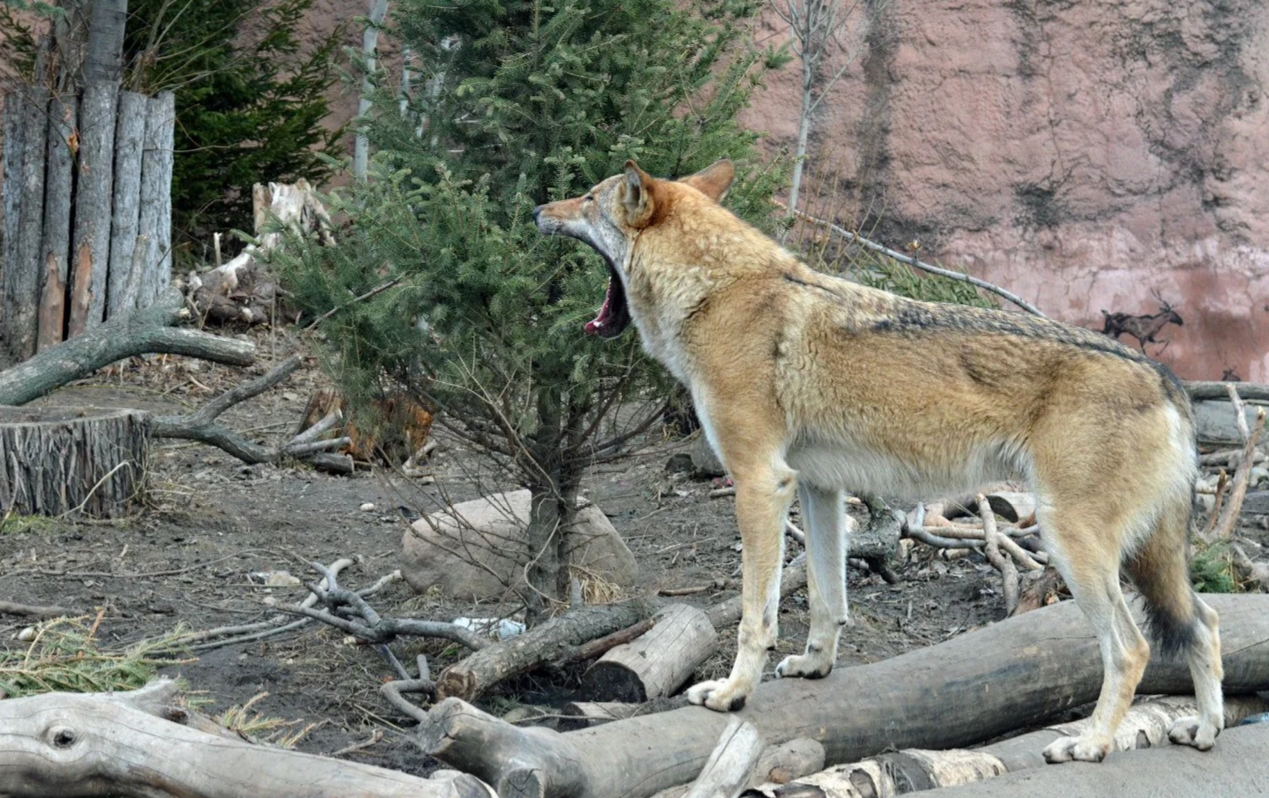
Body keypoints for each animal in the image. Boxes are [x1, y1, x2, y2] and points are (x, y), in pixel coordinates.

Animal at [532, 158, 1218, 761]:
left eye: (587, 199)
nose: (539, 209)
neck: (718, 291)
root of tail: (1169, 380)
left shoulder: (758, 482)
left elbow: (757, 616)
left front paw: (732, 694)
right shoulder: (815, 487)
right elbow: (827, 599)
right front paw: (815, 667)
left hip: (1068, 540)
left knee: (1131, 649)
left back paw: (1091, 743)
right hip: (1136, 555)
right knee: (1205, 622)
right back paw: (1204, 729)